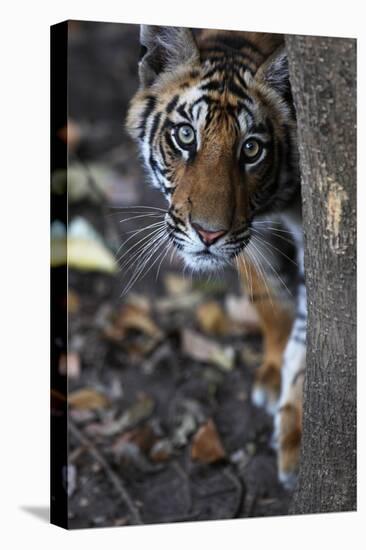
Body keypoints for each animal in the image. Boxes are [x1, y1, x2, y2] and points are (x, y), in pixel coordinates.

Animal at [126, 25, 306, 492]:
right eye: (186, 137)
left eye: (252, 149)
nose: (208, 234)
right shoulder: (252, 237)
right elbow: (270, 303)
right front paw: (272, 373)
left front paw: (296, 440)